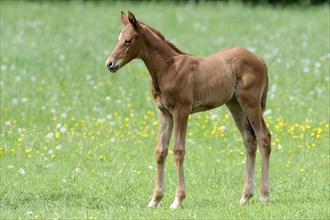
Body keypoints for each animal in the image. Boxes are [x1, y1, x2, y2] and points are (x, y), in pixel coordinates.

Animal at [105, 11, 270, 209]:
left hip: (250, 103)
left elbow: (178, 151)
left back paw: (263, 195)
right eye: (118, 38)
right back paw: (245, 196)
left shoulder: (181, 111)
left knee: (264, 137)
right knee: (249, 141)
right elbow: (160, 151)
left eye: (128, 40)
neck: (167, 68)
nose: (110, 64)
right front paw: (155, 199)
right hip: (235, 105)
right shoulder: (164, 113)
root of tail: (259, 59)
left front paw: (177, 199)